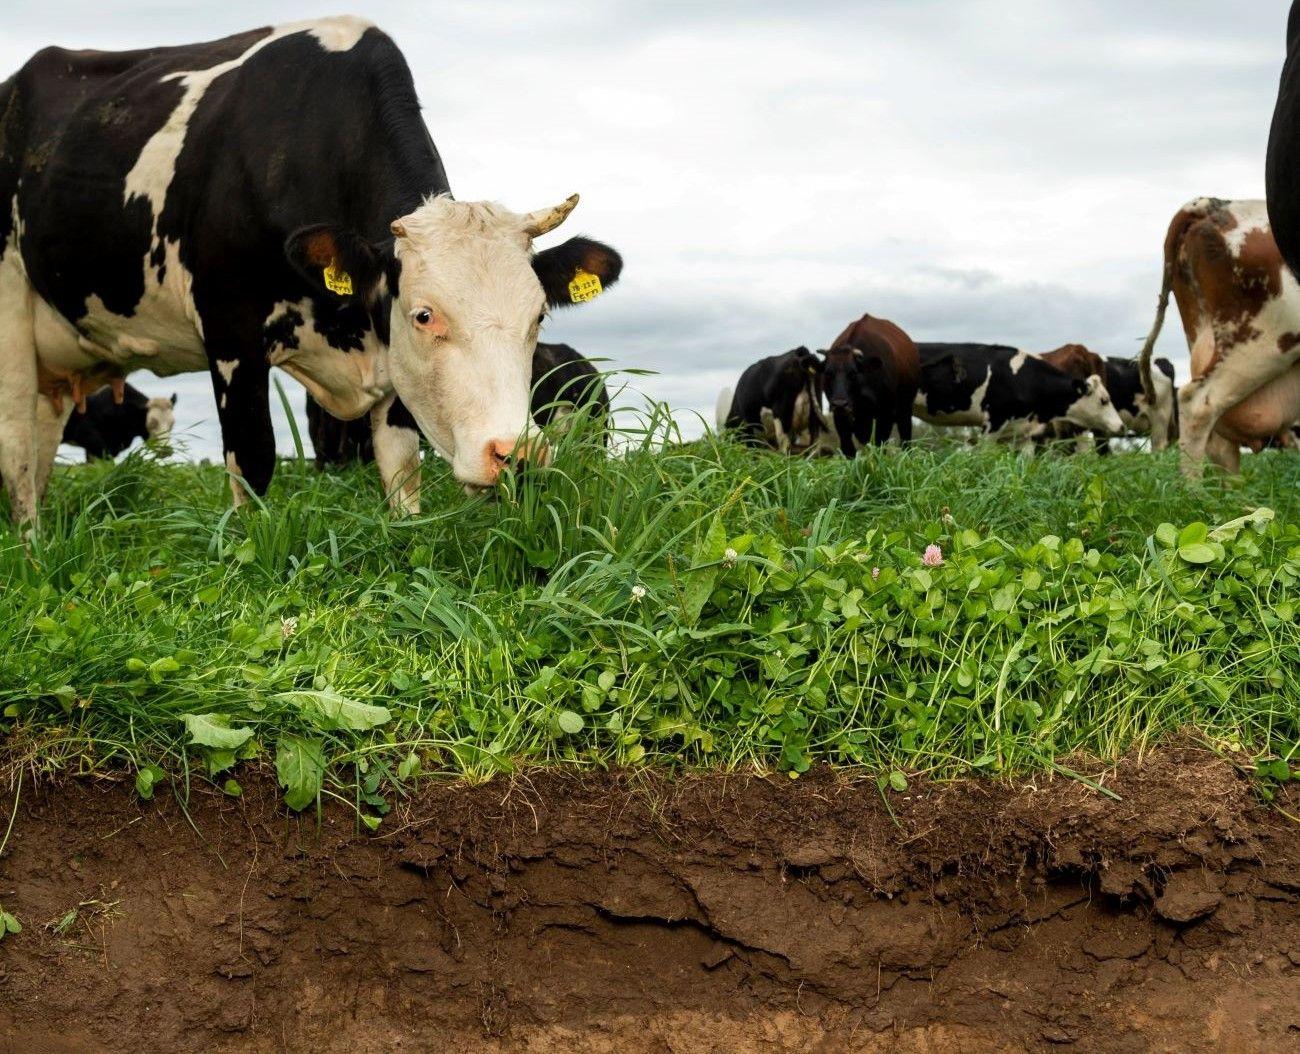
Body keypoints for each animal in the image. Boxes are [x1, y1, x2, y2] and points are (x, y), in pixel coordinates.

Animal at [0, 14, 624, 525]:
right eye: (424, 315)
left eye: (538, 316)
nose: (517, 453)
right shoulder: (231, 335)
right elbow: (253, 463)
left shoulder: (389, 366)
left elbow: (402, 476)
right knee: (17, 456)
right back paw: (33, 559)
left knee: (39, 454)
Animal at [816, 309, 920, 452]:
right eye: (828, 374)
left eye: (853, 373)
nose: (840, 404)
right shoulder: (841, 418)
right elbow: (848, 448)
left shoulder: (886, 414)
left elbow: (879, 445)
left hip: (905, 409)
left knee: (906, 440)